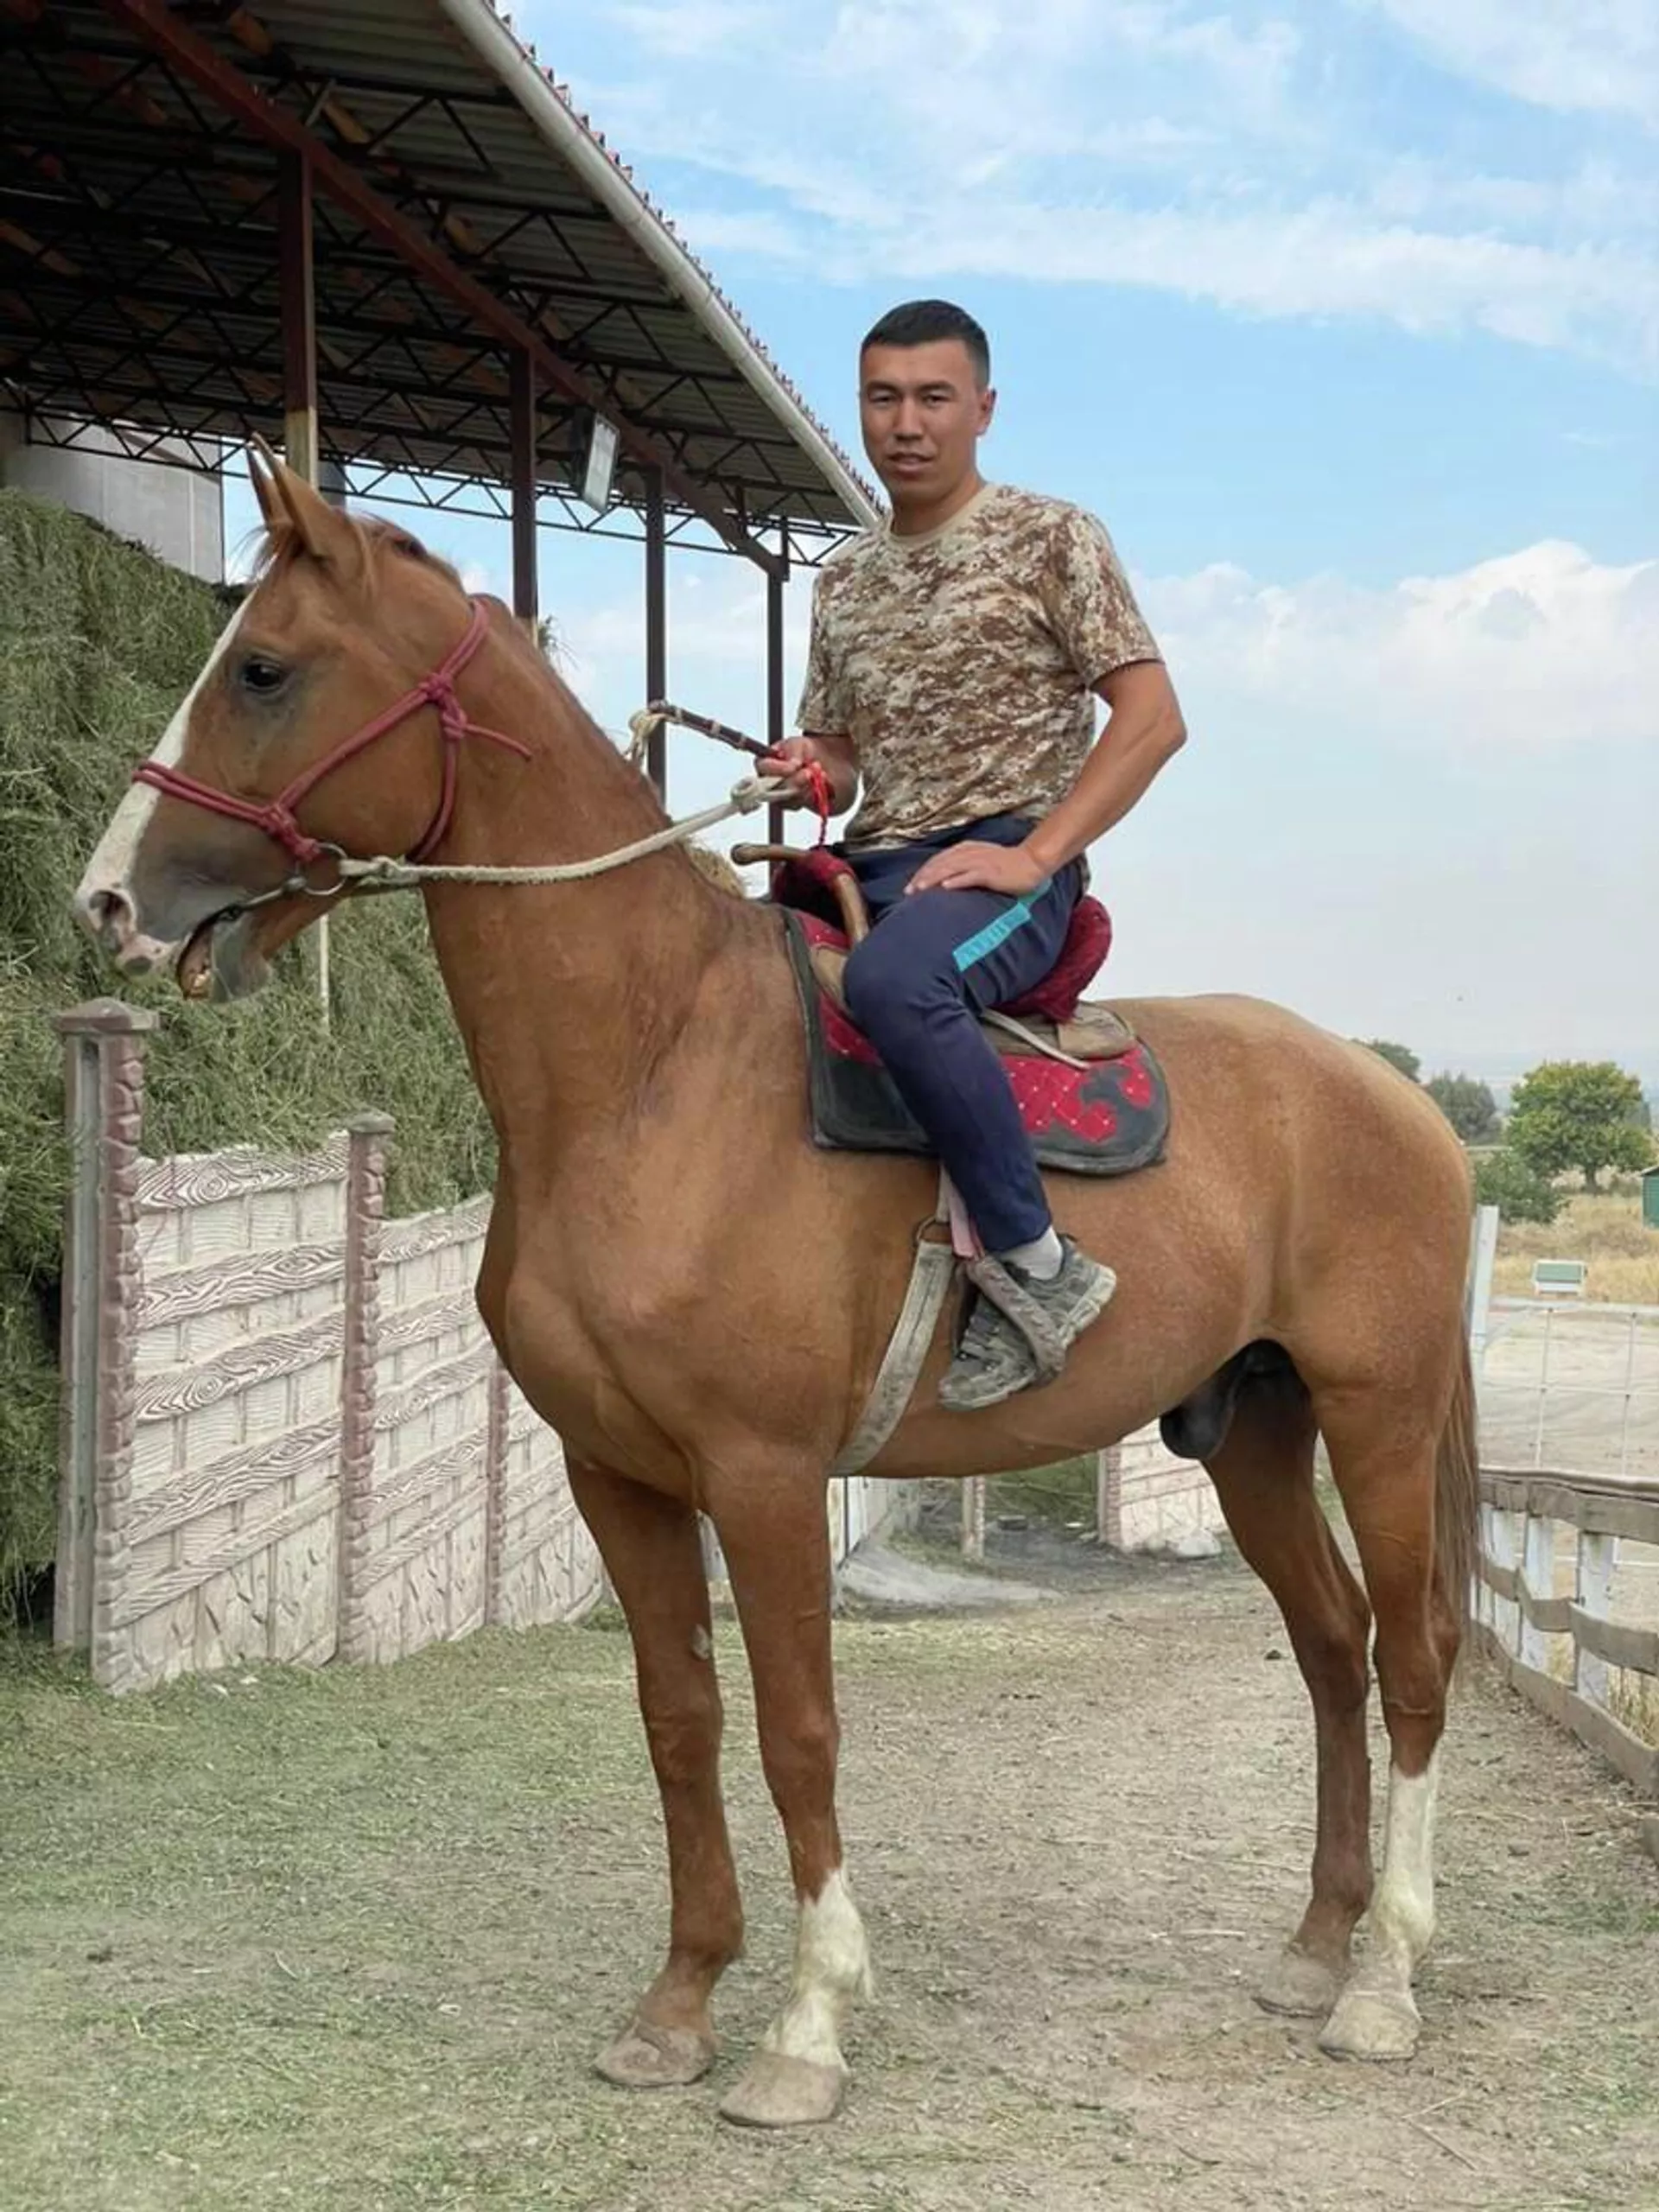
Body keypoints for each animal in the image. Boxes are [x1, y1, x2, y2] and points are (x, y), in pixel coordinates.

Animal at [74, 451, 1478, 2130]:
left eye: (266, 670)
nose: (108, 902)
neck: (653, 1067)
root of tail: (1407, 1108)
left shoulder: (763, 1474)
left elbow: (802, 1729)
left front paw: (807, 2025)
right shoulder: (615, 1473)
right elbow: (681, 1719)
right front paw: (679, 2002)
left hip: (1378, 1417)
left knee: (1411, 1660)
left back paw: (1387, 1983)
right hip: (1257, 1433)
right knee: (1330, 1651)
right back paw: (1317, 1946)